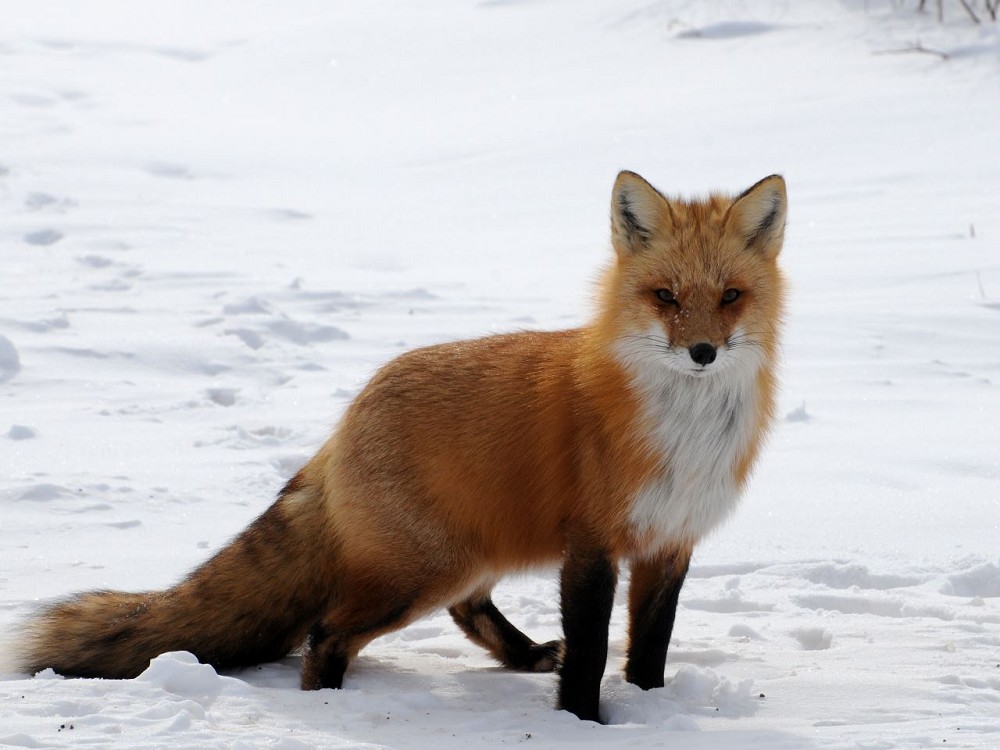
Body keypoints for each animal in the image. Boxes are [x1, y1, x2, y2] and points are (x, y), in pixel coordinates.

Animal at [11, 173, 784, 724]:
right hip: (422, 574)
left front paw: (652, 708)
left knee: (468, 612)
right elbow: (593, 651)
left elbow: (648, 646)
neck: (685, 431)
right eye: (665, 296)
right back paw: (331, 704)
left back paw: (528, 654)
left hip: (469, 554)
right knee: (328, 632)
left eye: (731, 296)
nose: (704, 352)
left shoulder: (670, 540)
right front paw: (585, 724)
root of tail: (345, 419)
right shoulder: (593, 543)